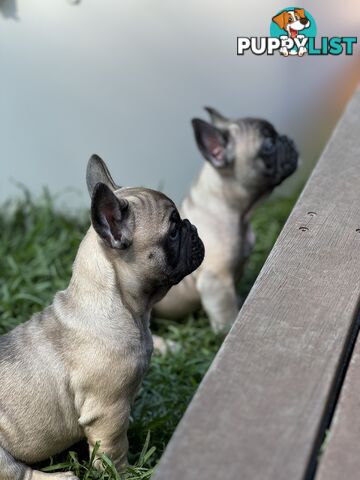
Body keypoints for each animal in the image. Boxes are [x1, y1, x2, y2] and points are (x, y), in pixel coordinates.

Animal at [0, 156, 204, 478]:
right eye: (173, 230)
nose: (192, 226)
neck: (124, 306)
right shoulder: (108, 411)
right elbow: (114, 449)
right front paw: (126, 472)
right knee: (18, 472)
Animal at [155, 108, 298, 334]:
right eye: (268, 145)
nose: (288, 140)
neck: (236, 212)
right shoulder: (216, 282)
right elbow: (226, 314)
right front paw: (228, 329)